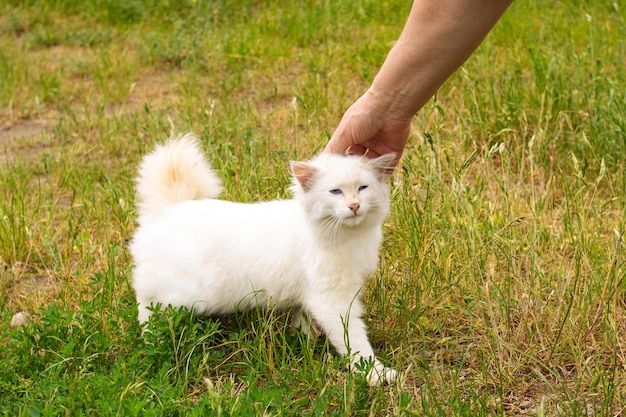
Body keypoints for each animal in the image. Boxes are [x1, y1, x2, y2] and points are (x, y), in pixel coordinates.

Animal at [129, 135, 398, 386]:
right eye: (335, 191)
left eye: (363, 188)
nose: (354, 206)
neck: (346, 236)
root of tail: (168, 209)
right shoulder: (334, 300)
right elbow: (354, 341)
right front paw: (376, 374)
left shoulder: (313, 296)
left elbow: (306, 322)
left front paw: (304, 342)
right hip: (180, 294)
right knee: (146, 303)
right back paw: (153, 340)